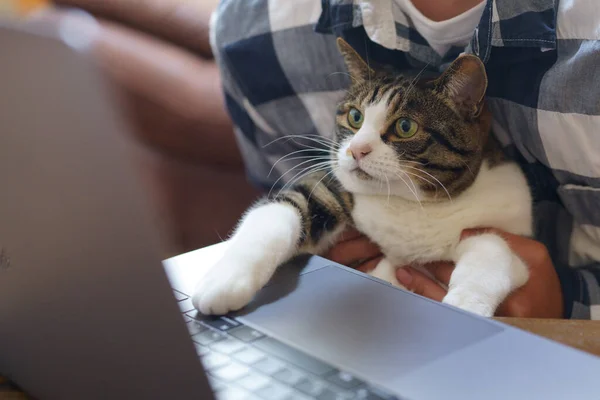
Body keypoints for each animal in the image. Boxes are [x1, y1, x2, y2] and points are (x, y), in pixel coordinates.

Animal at [191, 38, 528, 318]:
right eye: (355, 117)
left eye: (405, 126)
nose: (357, 150)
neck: (409, 204)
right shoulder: (327, 190)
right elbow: (272, 218)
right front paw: (223, 282)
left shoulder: (509, 227)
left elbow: (493, 253)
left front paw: (465, 307)